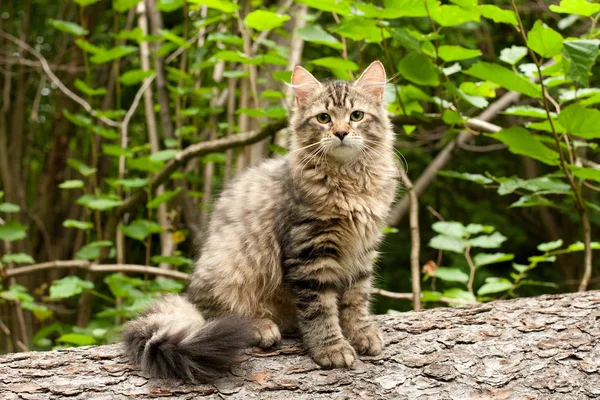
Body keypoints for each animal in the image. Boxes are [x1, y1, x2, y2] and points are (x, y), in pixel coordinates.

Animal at [123, 59, 398, 382]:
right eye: (324, 118)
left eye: (356, 116)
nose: (341, 132)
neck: (350, 180)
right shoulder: (309, 252)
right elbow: (320, 309)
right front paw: (331, 347)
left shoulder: (363, 249)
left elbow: (356, 299)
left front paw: (361, 332)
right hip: (231, 265)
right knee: (216, 314)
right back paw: (261, 327)